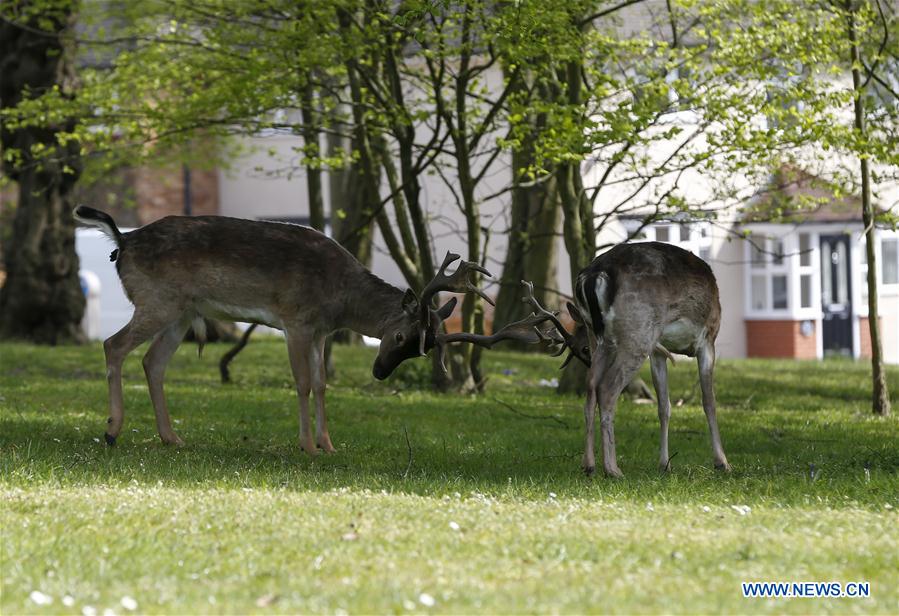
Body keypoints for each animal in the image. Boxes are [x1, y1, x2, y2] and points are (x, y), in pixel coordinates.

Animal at [72, 207, 500, 452]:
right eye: (398, 336)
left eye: (419, 349)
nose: (380, 372)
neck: (338, 294)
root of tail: (122, 241)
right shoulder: (295, 320)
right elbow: (304, 382)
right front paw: (307, 446)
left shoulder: (321, 332)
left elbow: (323, 384)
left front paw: (329, 444)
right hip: (158, 300)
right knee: (113, 345)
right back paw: (112, 431)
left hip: (180, 311)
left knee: (152, 362)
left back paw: (172, 437)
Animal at [568, 241, 736, 476]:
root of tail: (593, 275)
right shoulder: (707, 340)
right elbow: (709, 401)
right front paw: (722, 462)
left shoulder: (657, 352)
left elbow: (664, 406)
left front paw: (664, 464)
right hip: (638, 332)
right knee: (607, 389)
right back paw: (613, 469)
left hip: (597, 337)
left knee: (591, 386)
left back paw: (589, 465)